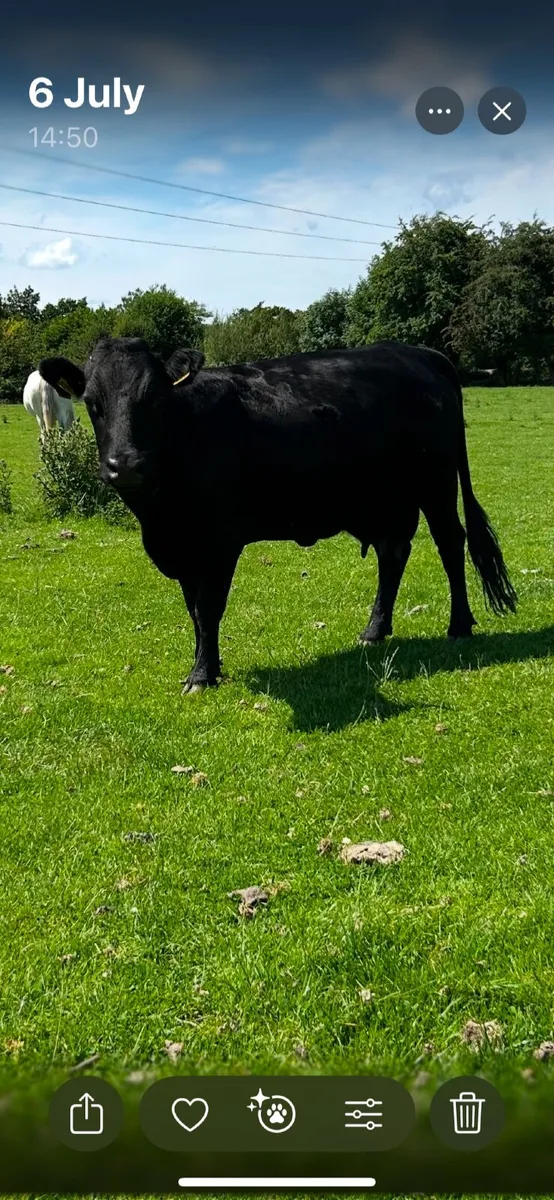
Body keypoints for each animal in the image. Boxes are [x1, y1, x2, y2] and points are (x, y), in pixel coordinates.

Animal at [38, 338, 517, 693]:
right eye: (92, 404)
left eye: (153, 400)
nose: (125, 465)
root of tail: (418, 353)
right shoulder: (185, 549)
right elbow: (194, 611)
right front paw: (207, 666)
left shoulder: (220, 541)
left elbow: (209, 608)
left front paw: (201, 675)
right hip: (385, 498)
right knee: (393, 553)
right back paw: (375, 630)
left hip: (436, 483)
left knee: (450, 543)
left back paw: (459, 624)